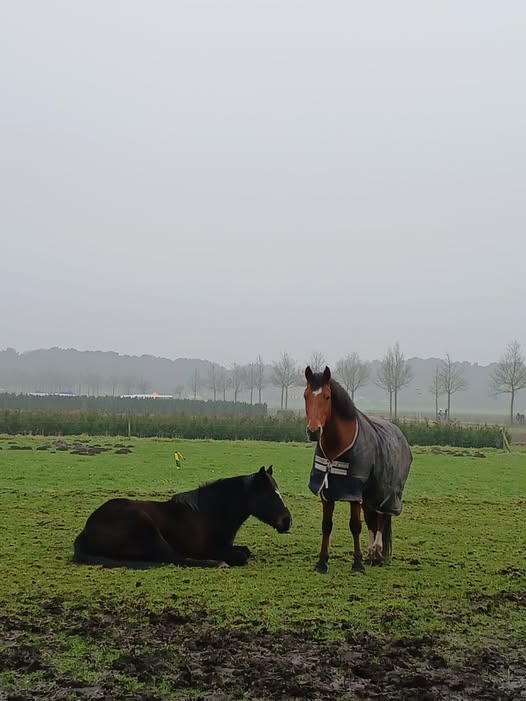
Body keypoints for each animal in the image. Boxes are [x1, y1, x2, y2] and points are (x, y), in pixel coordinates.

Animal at [73, 464, 292, 568]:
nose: (287, 521)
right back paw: (216, 564)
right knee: (172, 557)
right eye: (270, 495)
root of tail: (87, 528)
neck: (209, 512)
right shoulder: (211, 549)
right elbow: (241, 555)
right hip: (148, 530)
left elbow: (245, 550)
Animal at [306, 366, 416, 576]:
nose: (313, 431)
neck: (337, 446)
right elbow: (327, 526)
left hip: (388, 493)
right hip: (370, 495)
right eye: (305, 395)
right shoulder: (327, 492)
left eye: (327, 396)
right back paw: (371, 553)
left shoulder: (353, 493)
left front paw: (357, 565)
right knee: (372, 519)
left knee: (382, 518)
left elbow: (355, 526)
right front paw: (322, 563)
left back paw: (378, 553)